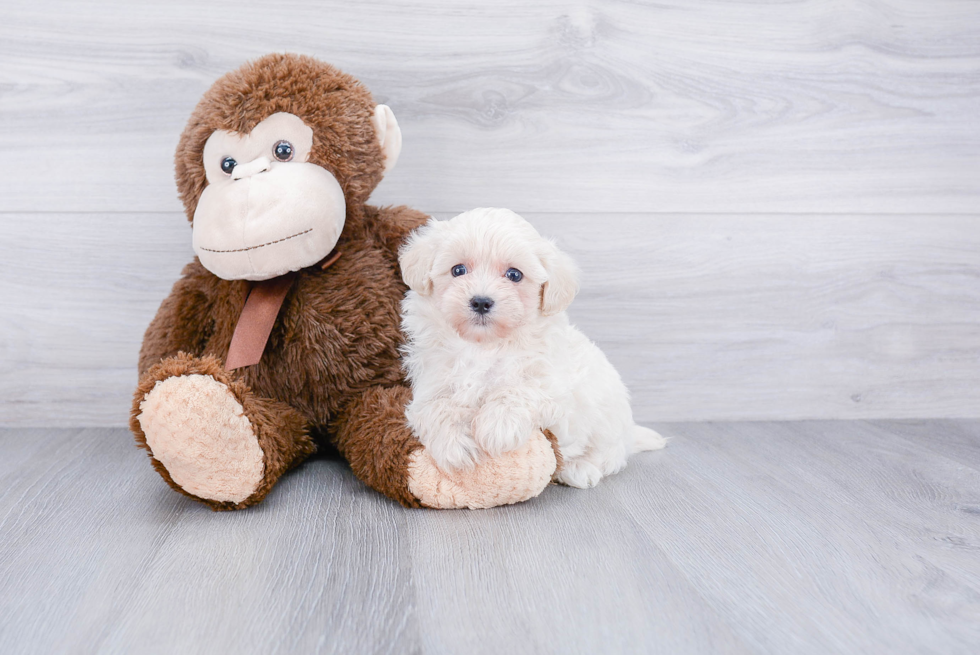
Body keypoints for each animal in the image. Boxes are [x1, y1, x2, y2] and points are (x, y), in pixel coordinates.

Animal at [398, 208, 668, 490]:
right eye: (458, 270)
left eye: (514, 275)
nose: (481, 301)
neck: (486, 346)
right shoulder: (432, 383)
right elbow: (436, 408)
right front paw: (455, 446)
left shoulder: (553, 384)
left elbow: (520, 389)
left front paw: (497, 426)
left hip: (608, 414)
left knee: (610, 455)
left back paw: (579, 468)